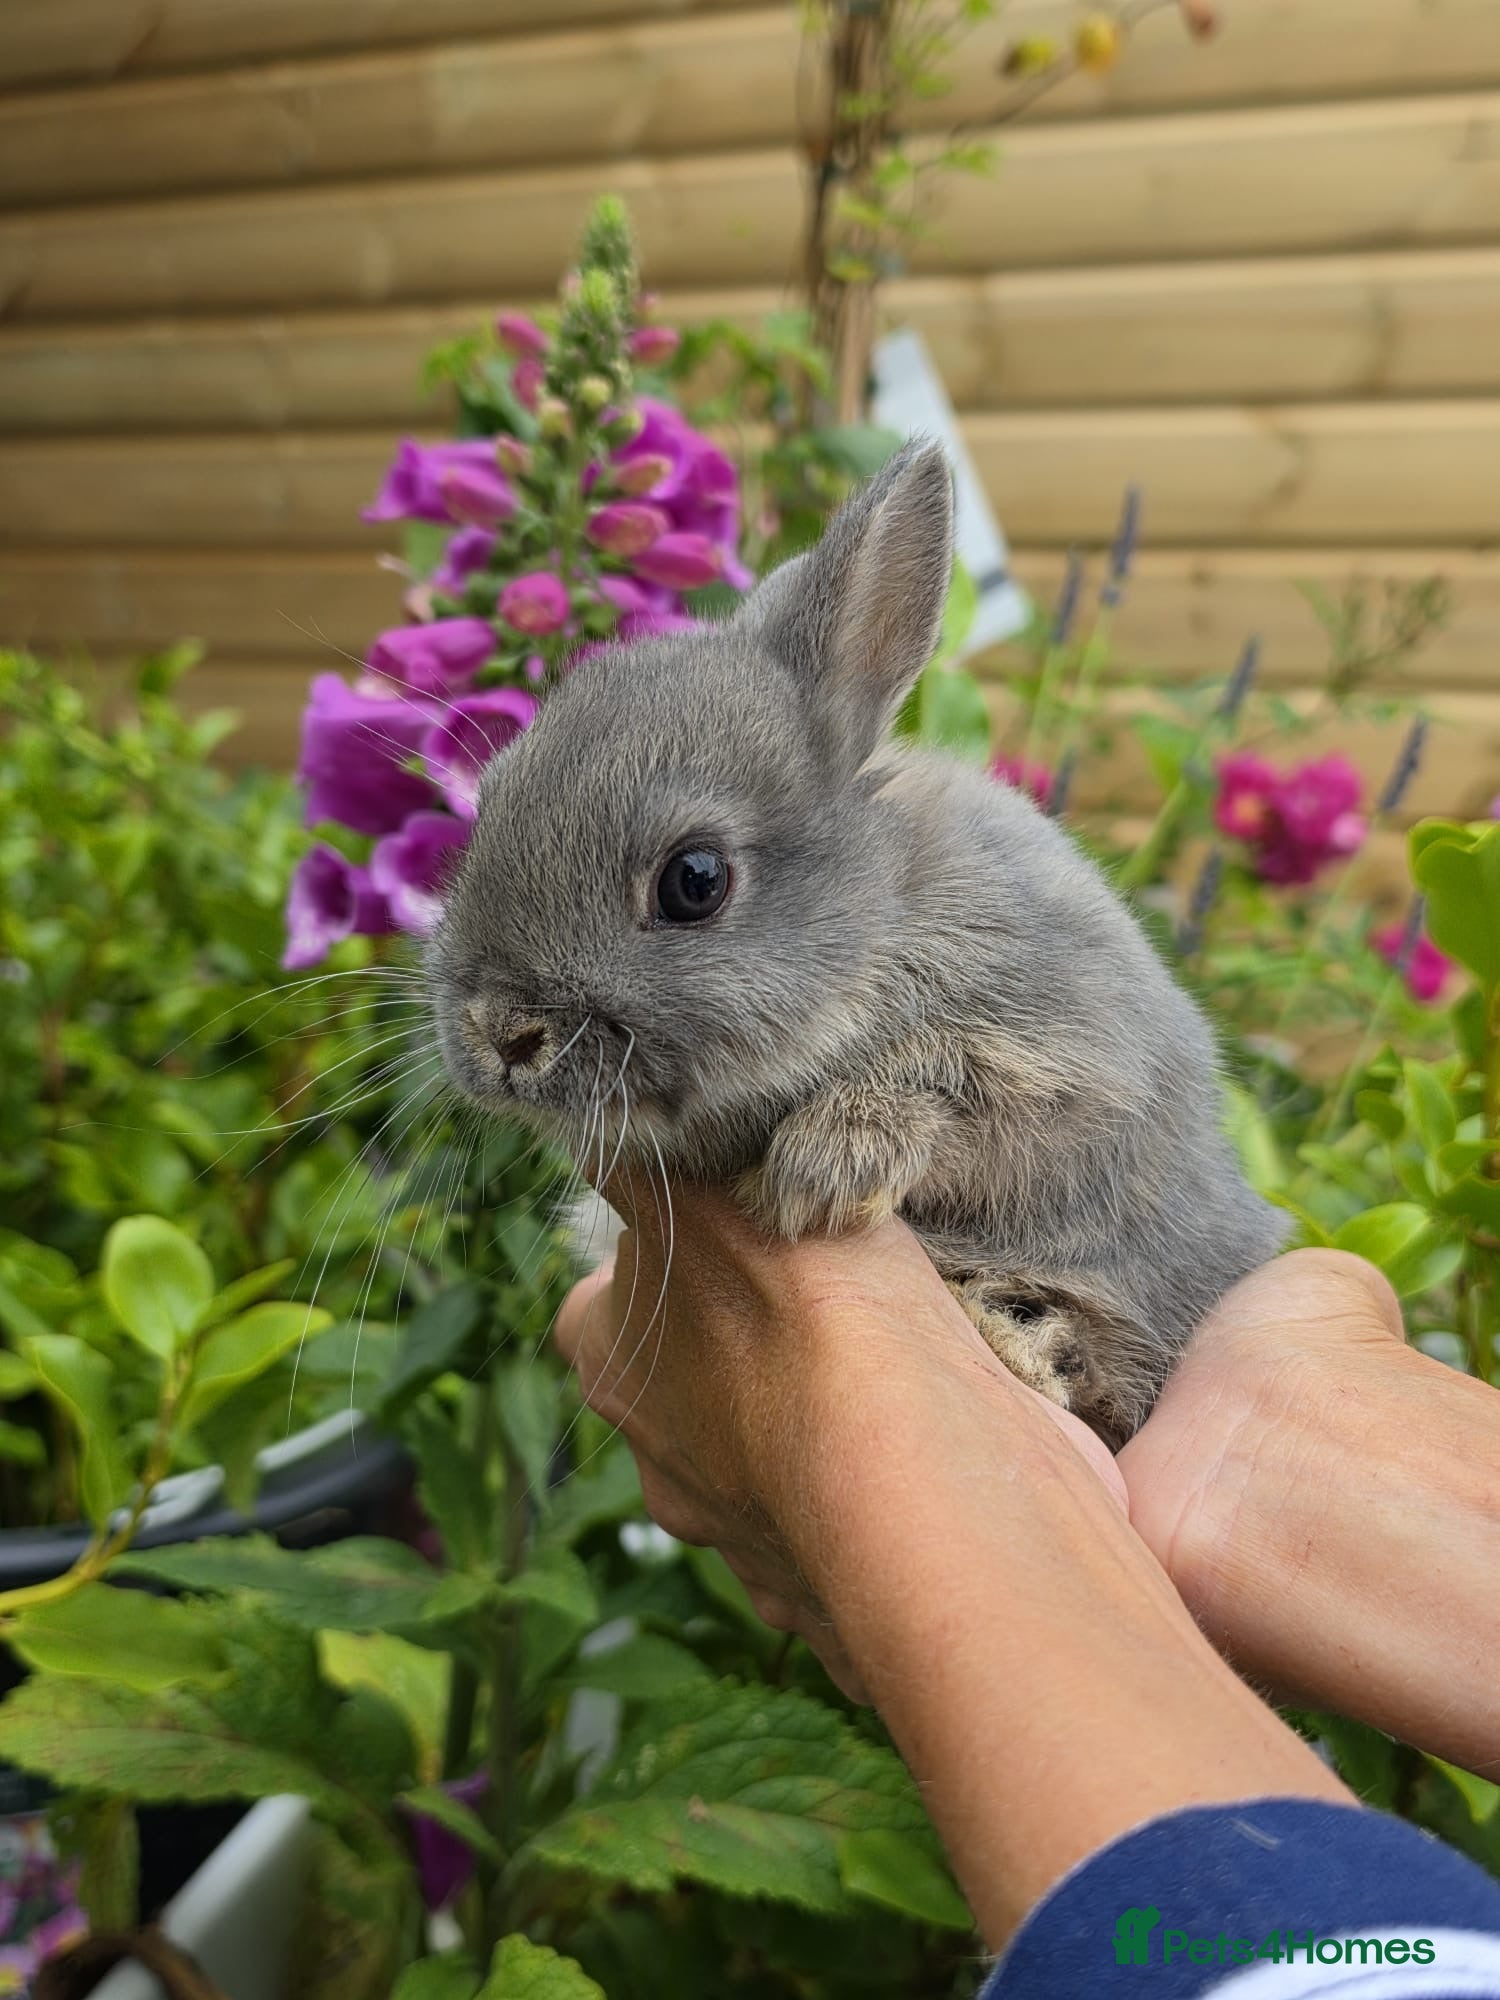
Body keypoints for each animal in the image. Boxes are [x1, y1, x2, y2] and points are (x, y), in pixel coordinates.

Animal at [427, 440, 1286, 1447]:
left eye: (694, 880)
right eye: (485, 805)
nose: (502, 1034)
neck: (883, 919)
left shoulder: (1076, 1076)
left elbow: (969, 1113)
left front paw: (827, 1168)